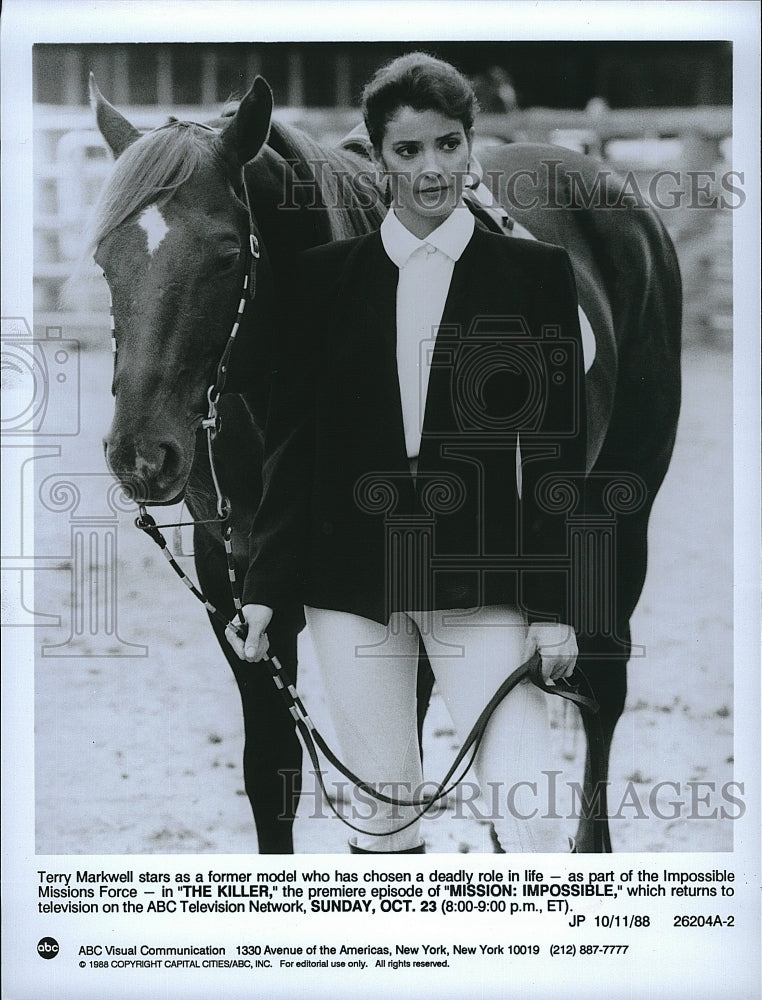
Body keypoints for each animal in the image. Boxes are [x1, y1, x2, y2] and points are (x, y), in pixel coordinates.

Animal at [87, 76, 676, 852]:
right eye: (106, 257)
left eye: (224, 253)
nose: (141, 455)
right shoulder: (234, 581)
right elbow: (273, 771)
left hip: (618, 517)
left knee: (602, 690)